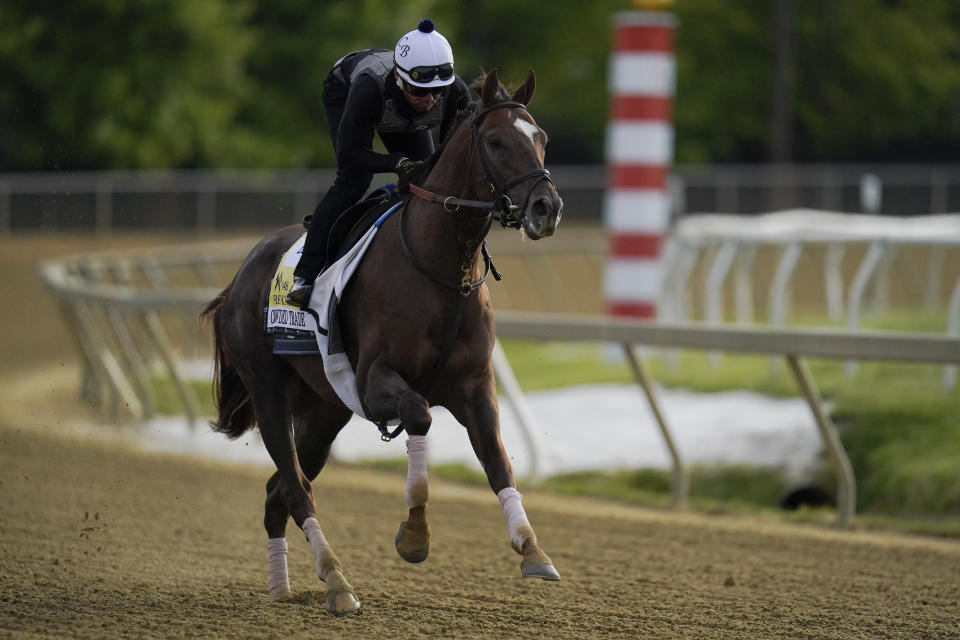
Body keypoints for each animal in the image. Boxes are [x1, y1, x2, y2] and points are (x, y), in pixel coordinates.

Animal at [202, 70, 564, 616]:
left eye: (541, 138)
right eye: (497, 142)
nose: (547, 208)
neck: (441, 271)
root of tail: (241, 274)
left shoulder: (476, 384)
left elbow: (496, 458)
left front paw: (532, 548)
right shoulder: (375, 383)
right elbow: (419, 414)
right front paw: (415, 535)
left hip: (323, 413)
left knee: (277, 492)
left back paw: (282, 588)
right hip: (268, 393)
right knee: (296, 488)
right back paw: (336, 582)